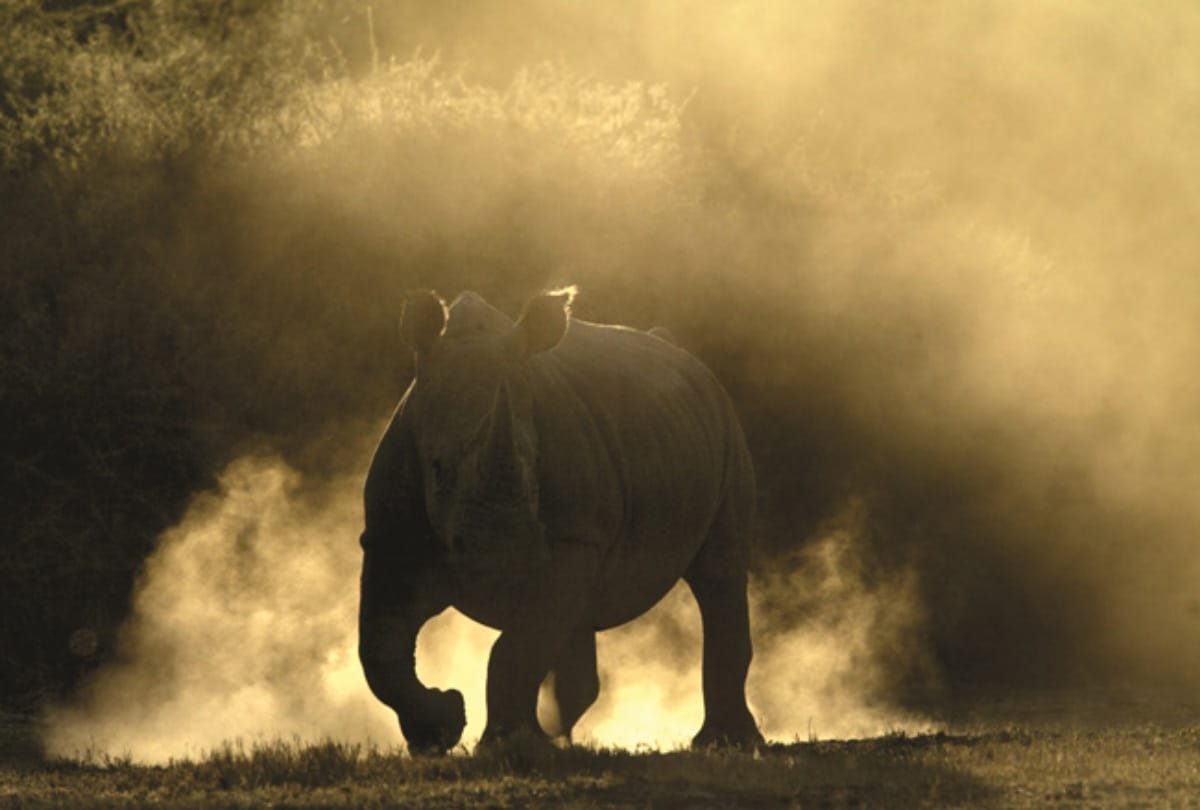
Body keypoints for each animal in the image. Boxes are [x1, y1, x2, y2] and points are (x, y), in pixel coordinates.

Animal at [358, 287, 762, 753]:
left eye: (535, 466)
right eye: (438, 468)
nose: (505, 564)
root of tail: (683, 354)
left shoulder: (573, 537)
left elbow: (517, 647)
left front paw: (503, 745)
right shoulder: (389, 536)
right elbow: (380, 649)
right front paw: (438, 731)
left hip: (724, 426)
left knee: (719, 574)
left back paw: (726, 743)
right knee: (575, 620)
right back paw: (557, 737)